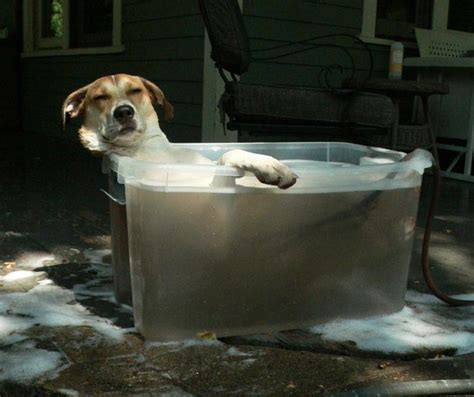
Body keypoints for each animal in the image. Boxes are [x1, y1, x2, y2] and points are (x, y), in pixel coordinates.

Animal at [62, 74, 296, 189]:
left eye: (136, 90)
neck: (147, 150)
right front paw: (270, 167)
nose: (124, 112)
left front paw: (270, 163)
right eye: (100, 97)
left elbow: (230, 152)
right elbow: (226, 156)